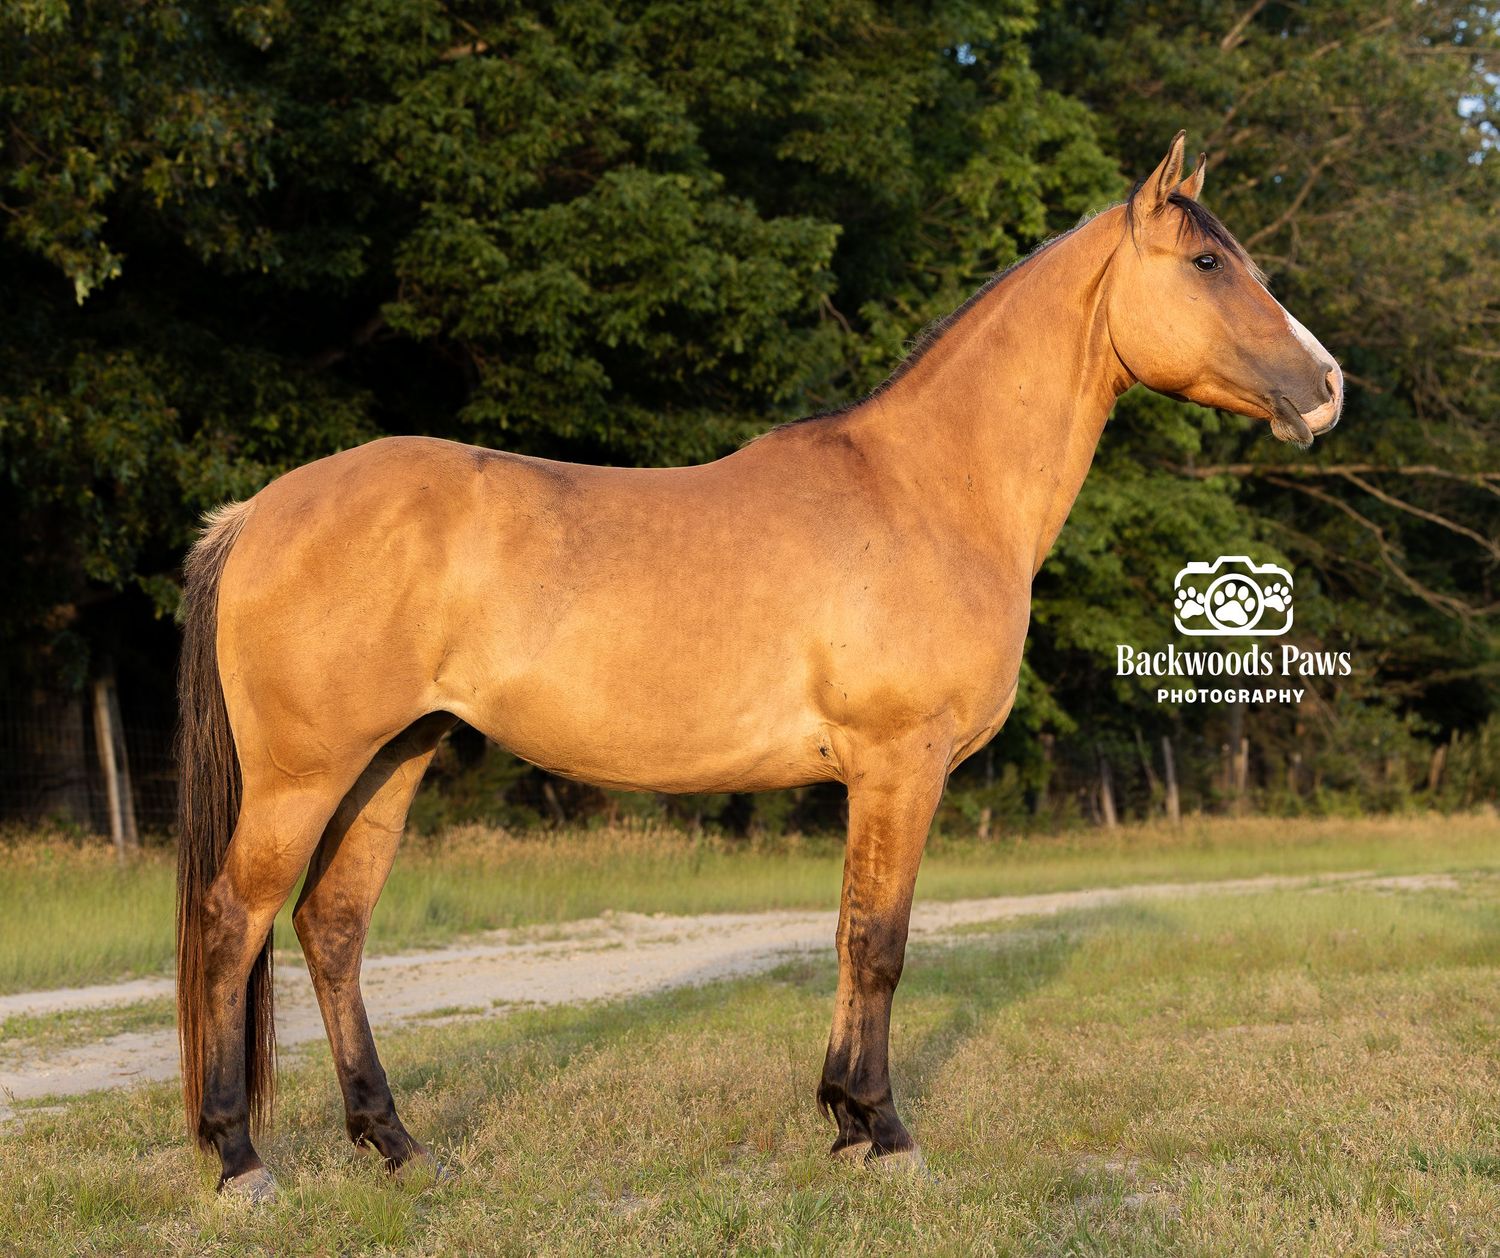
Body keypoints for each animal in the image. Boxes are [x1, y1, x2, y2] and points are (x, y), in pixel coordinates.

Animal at [176, 132, 1342, 1199]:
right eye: (1208, 262)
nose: (1328, 385)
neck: (929, 489)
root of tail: (255, 513)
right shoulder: (900, 764)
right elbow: (881, 941)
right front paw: (886, 1132)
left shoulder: (870, 777)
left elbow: (847, 934)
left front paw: (844, 1123)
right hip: (304, 775)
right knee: (234, 921)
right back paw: (239, 1159)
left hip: (395, 759)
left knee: (332, 926)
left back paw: (396, 1145)